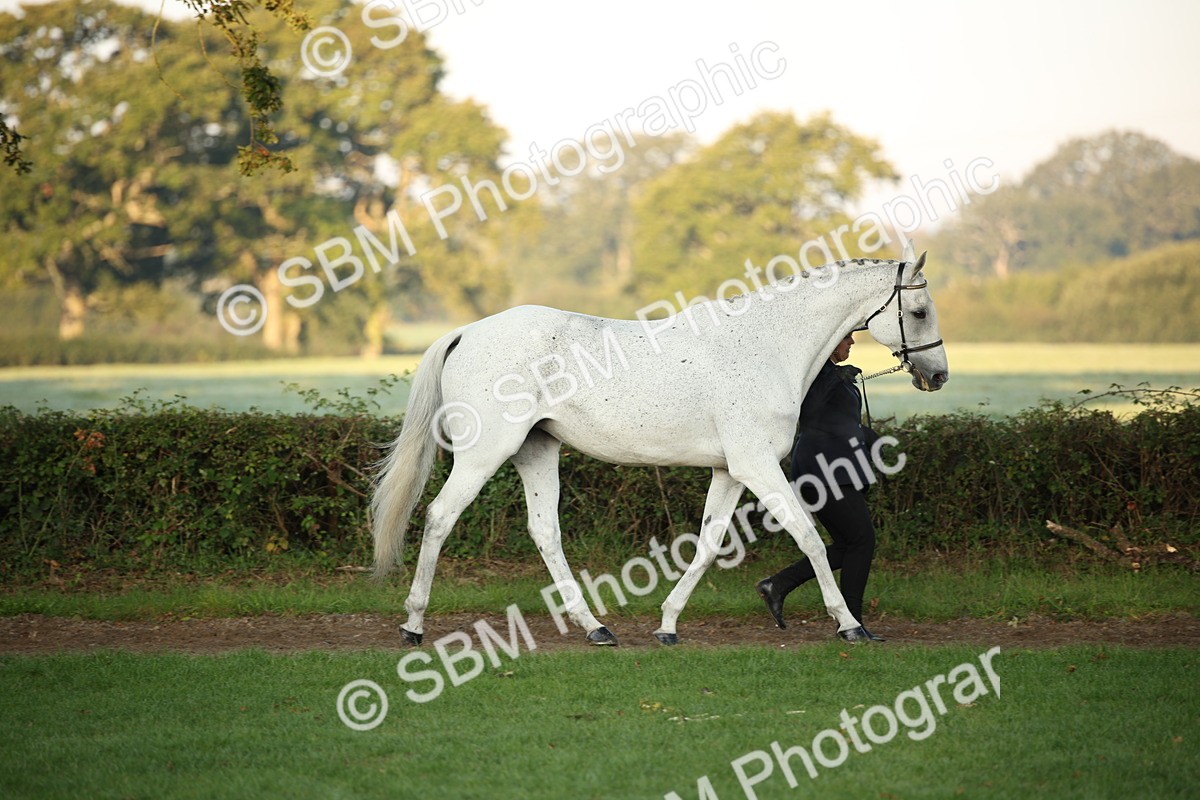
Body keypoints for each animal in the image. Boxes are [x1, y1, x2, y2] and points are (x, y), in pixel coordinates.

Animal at [371, 241, 948, 647]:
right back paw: (413, 625)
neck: (767, 346)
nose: (938, 375)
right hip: (483, 455)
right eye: (920, 311)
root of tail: (467, 332)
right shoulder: (758, 466)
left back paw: (595, 628)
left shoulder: (730, 472)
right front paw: (849, 624)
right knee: (440, 517)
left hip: (537, 451)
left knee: (545, 532)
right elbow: (808, 537)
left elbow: (709, 544)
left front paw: (668, 624)